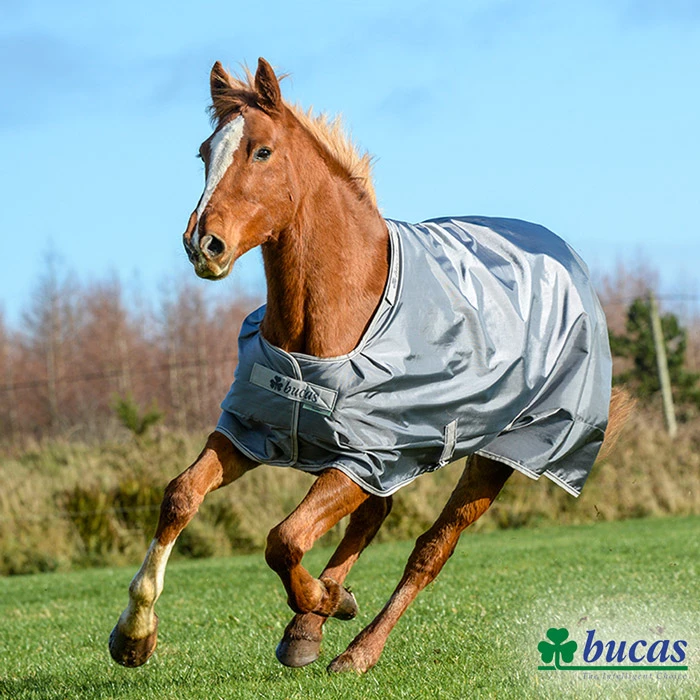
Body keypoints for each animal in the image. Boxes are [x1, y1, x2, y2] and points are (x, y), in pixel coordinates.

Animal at [109, 57, 632, 674]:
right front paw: (133, 636)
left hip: (495, 456)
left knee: (430, 549)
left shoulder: (363, 456)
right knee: (373, 516)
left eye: (261, 151)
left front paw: (327, 599)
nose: (202, 244)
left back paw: (355, 648)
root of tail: (567, 259)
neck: (330, 321)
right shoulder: (258, 432)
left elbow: (284, 539)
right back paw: (307, 629)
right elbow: (181, 495)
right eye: (203, 152)